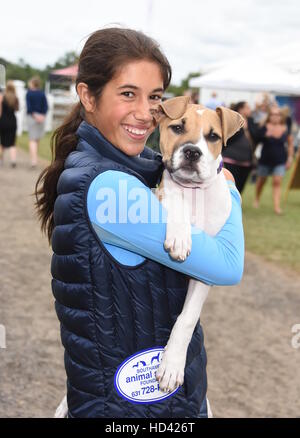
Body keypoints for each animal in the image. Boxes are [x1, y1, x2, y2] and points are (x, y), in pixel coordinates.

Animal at [152, 97, 244, 392]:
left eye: (213, 136)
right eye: (178, 127)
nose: (192, 152)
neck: (195, 194)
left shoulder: (206, 273)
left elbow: (187, 318)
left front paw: (172, 365)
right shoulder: (162, 190)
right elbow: (174, 195)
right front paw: (181, 236)